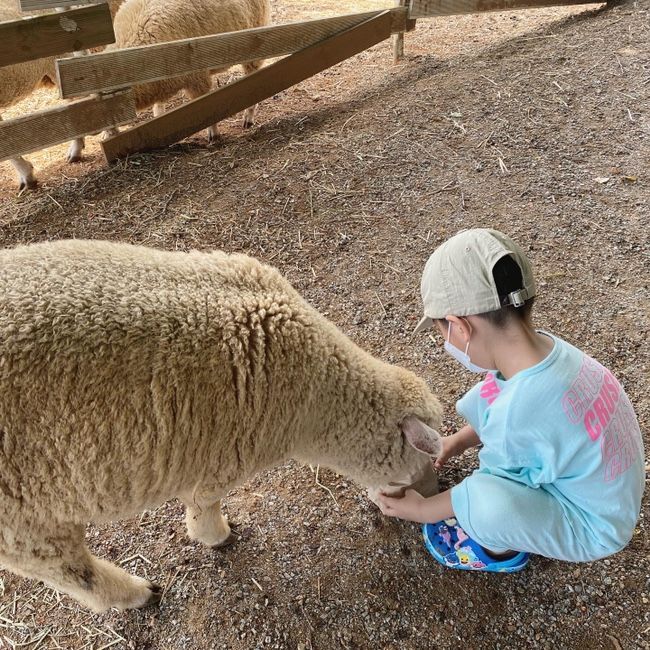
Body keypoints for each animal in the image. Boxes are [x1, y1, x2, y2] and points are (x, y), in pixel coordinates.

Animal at [0, 239, 440, 612]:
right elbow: (204, 503)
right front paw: (216, 536)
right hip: (22, 516)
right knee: (66, 567)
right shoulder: (226, 456)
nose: (434, 496)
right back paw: (136, 594)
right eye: (412, 468)